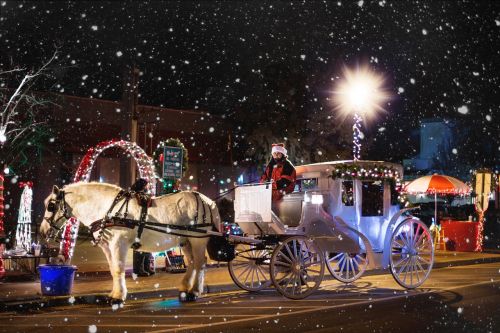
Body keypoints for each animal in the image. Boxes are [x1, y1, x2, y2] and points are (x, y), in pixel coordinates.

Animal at [39, 182, 219, 304]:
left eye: (51, 206)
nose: (42, 231)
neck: (107, 209)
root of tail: (207, 201)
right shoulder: (107, 246)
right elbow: (113, 270)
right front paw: (113, 294)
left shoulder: (119, 244)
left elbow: (118, 269)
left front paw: (118, 297)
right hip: (185, 240)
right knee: (192, 262)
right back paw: (185, 289)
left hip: (197, 240)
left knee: (200, 263)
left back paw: (194, 292)